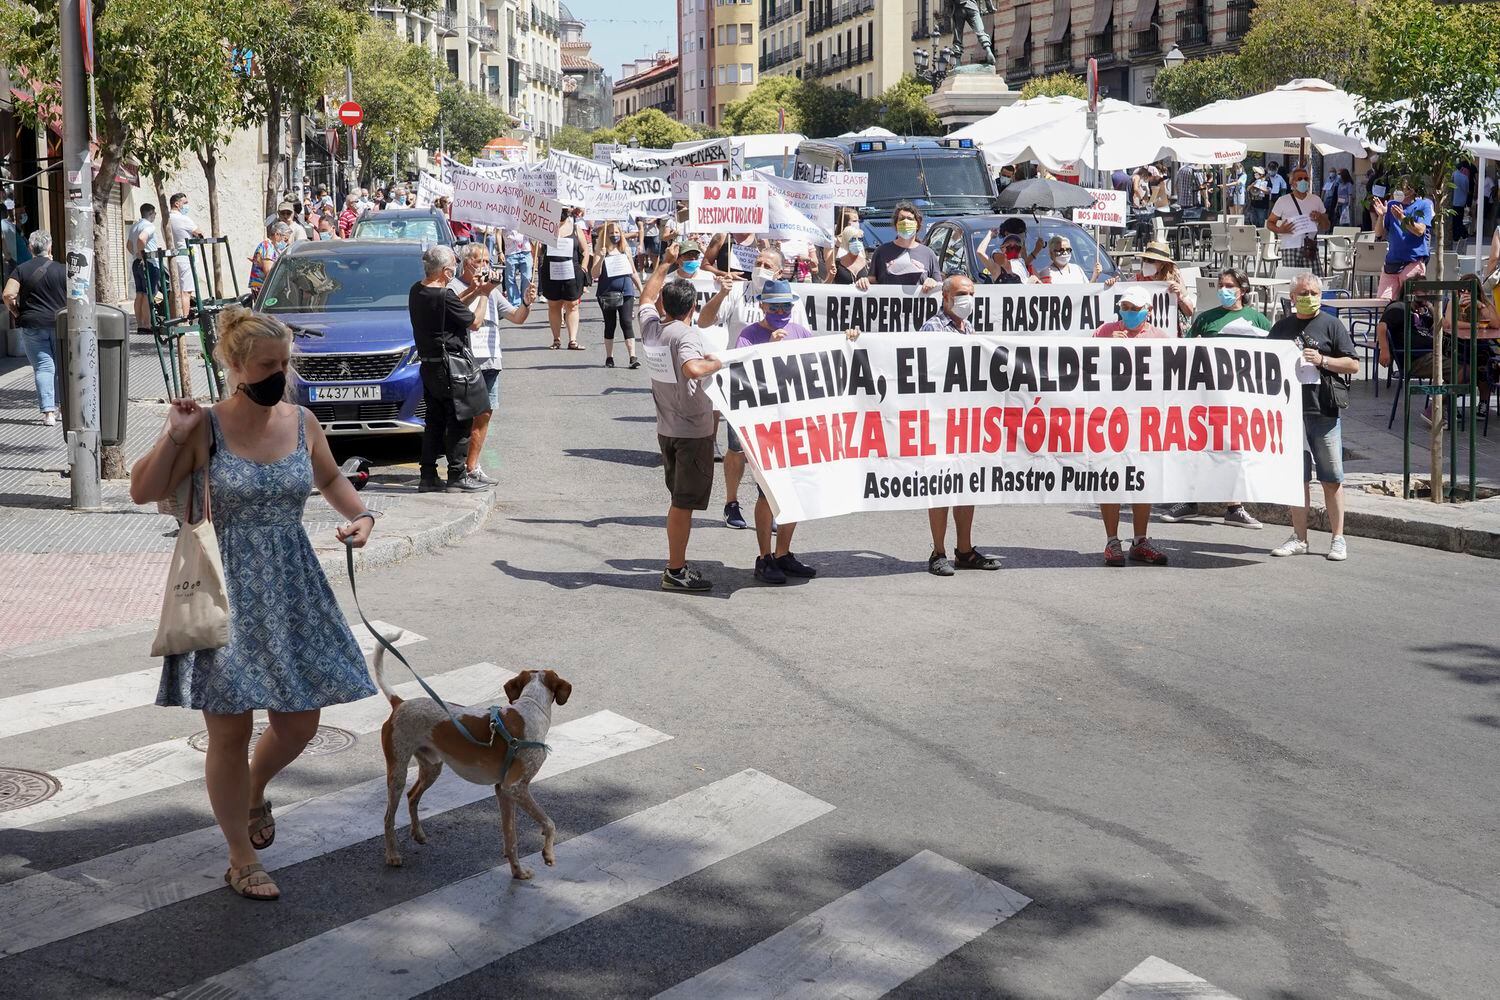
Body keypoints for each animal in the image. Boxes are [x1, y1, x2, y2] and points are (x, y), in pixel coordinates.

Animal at [372, 644, 570, 881]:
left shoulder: (503, 791)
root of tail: (400, 703)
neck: (531, 707)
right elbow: (549, 823)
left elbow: (511, 838)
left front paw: (517, 871)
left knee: (412, 796)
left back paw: (418, 833)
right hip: (398, 772)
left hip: (432, 767)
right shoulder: (515, 787)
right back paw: (392, 855)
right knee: (388, 817)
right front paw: (547, 854)